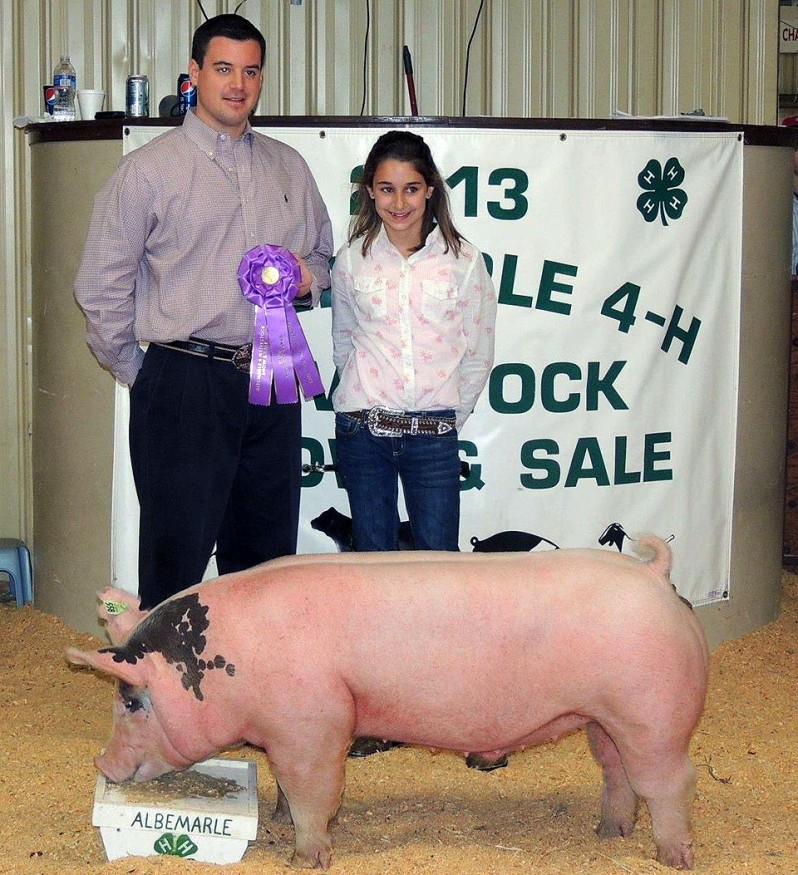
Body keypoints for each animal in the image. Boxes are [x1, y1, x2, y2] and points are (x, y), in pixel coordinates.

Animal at [67, 536, 708, 872]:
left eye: (131, 703)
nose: (102, 764)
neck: (234, 660)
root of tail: (655, 577)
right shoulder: (287, 732)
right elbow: (284, 786)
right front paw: (277, 819)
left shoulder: (315, 725)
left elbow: (312, 792)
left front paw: (306, 857)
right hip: (606, 718)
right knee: (617, 773)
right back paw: (609, 835)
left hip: (653, 713)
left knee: (671, 781)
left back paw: (672, 857)